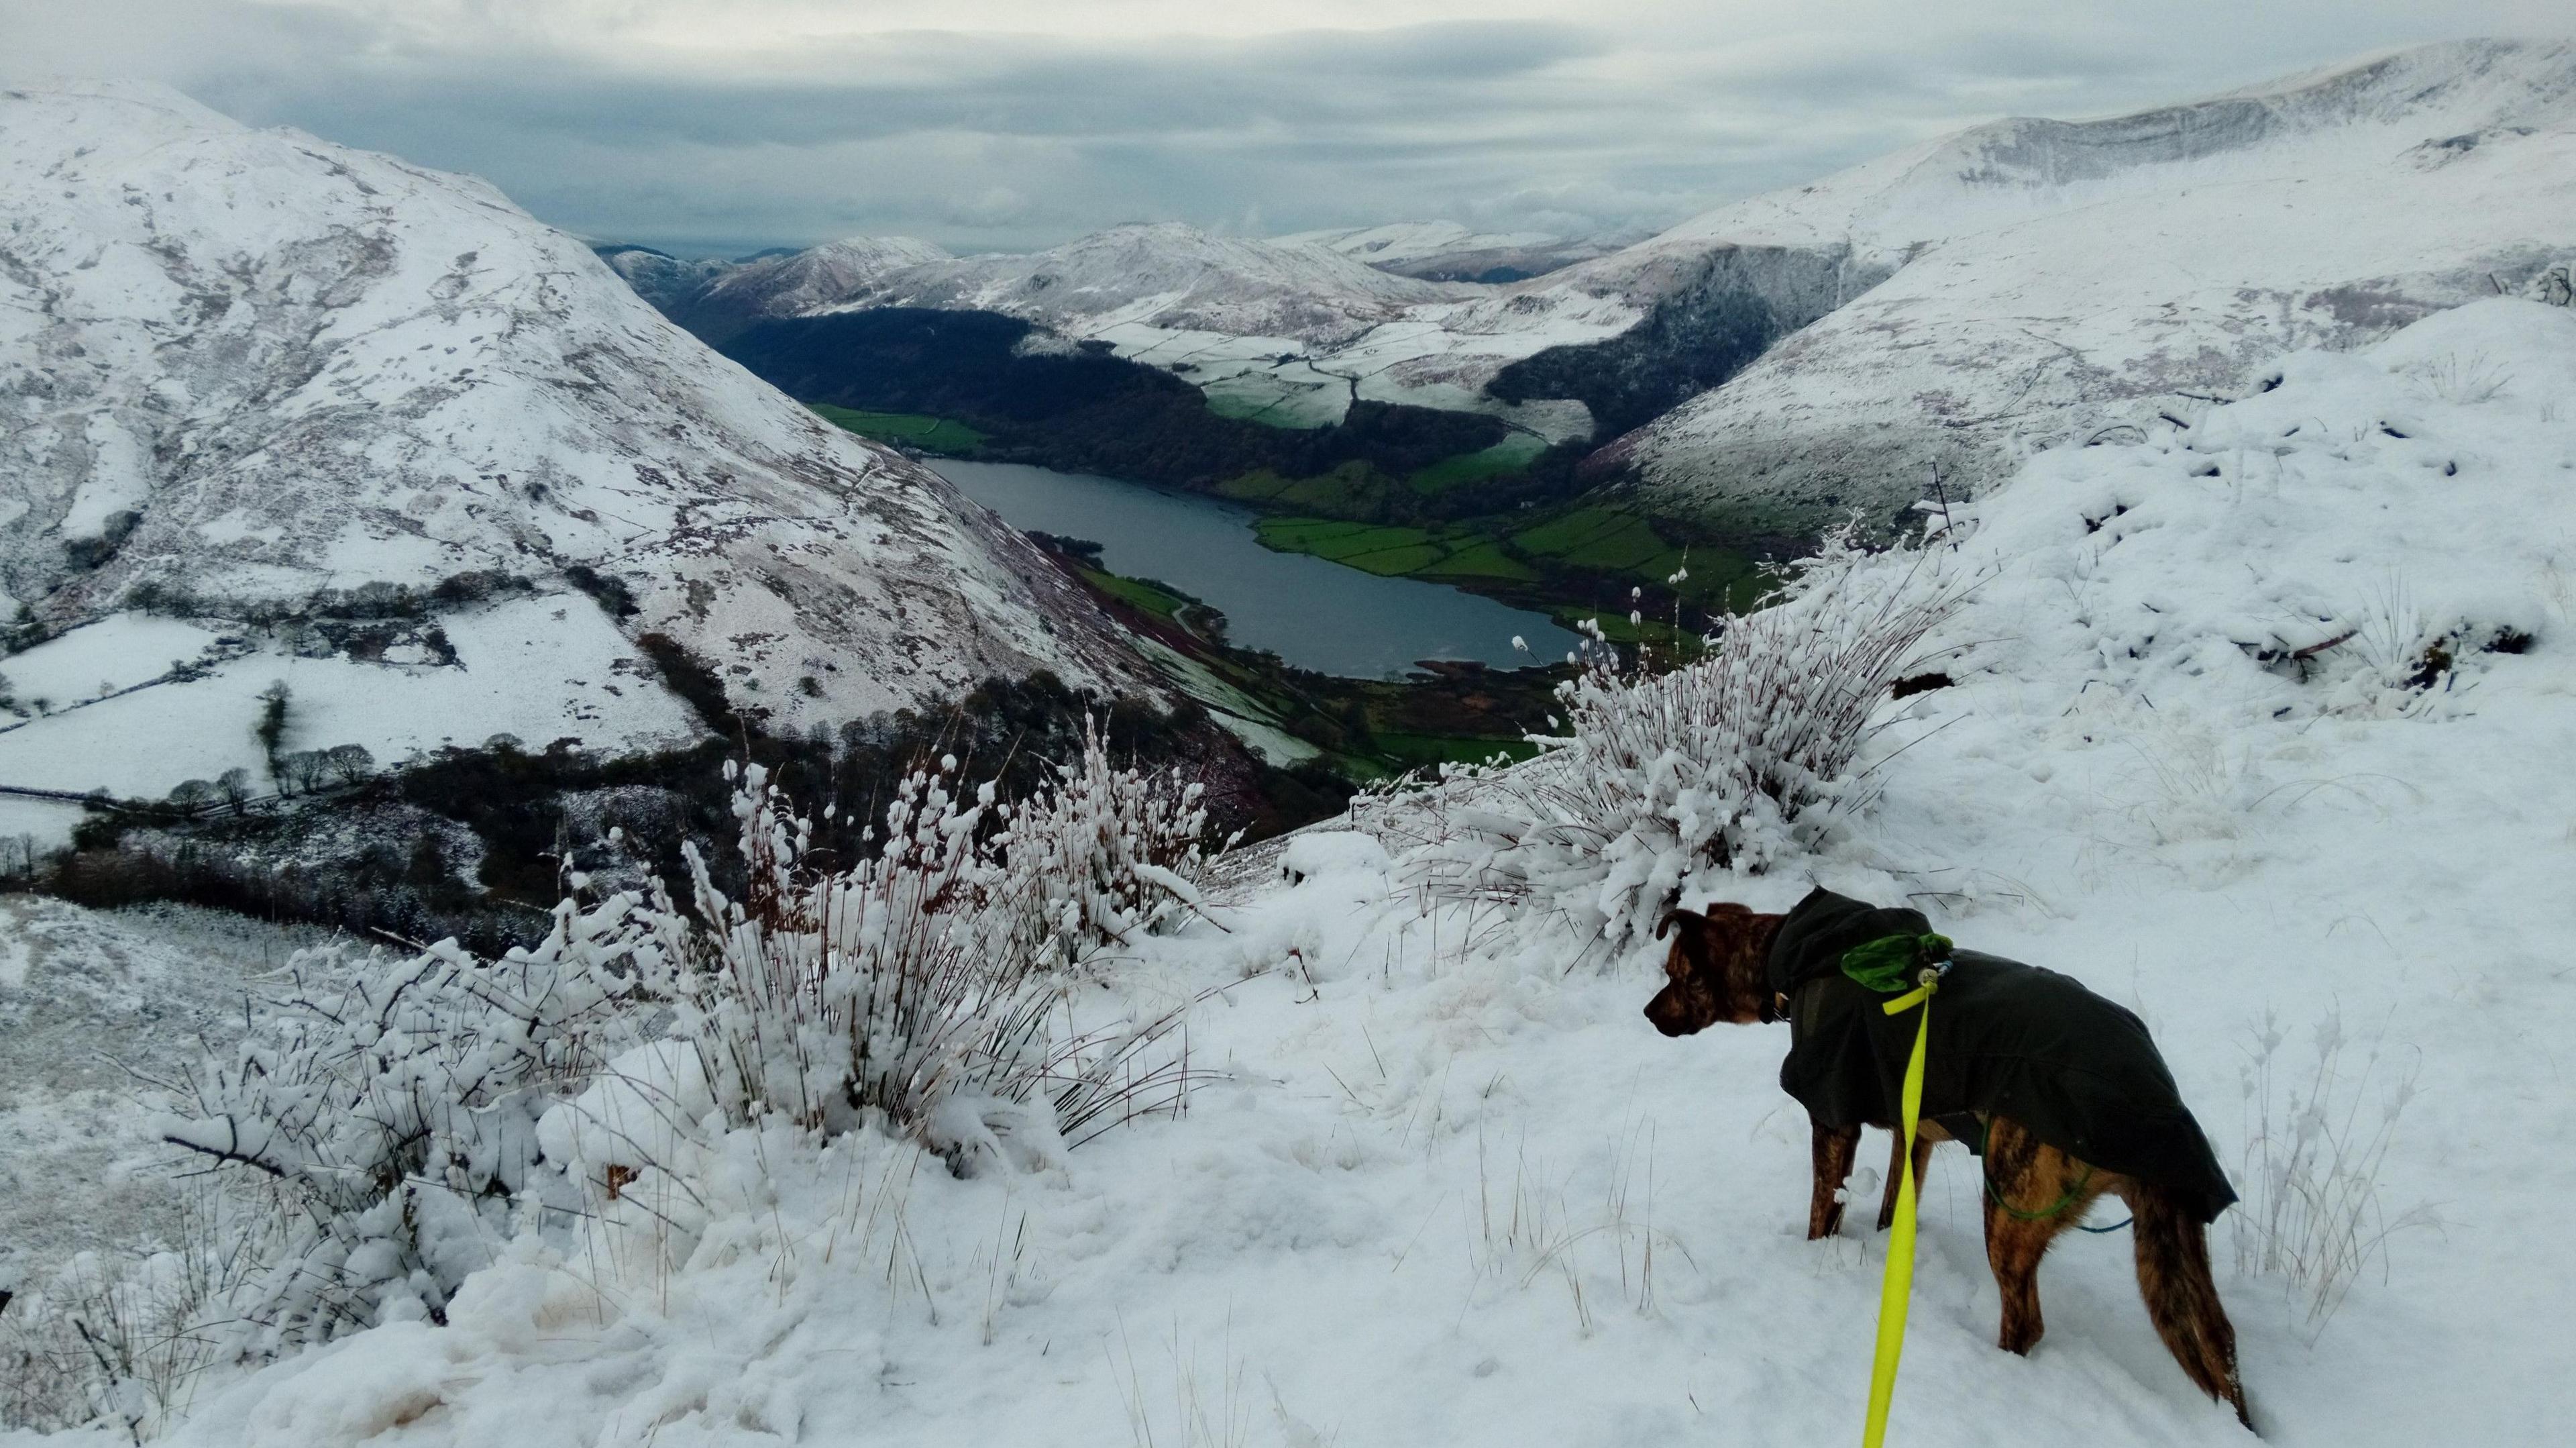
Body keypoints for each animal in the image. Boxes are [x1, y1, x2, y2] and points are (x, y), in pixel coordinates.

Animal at [1648, 891, 2256, 1422]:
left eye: (1677, 976)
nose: (1650, 1014)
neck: (1786, 953)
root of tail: (2154, 1095)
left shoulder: (1833, 1122)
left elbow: (1824, 1211)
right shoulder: (1912, 1133)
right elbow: (1894, 1206)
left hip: (2010, 1207)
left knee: (2027, 1321)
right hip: (2171, 1246)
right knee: (2221, 1343)